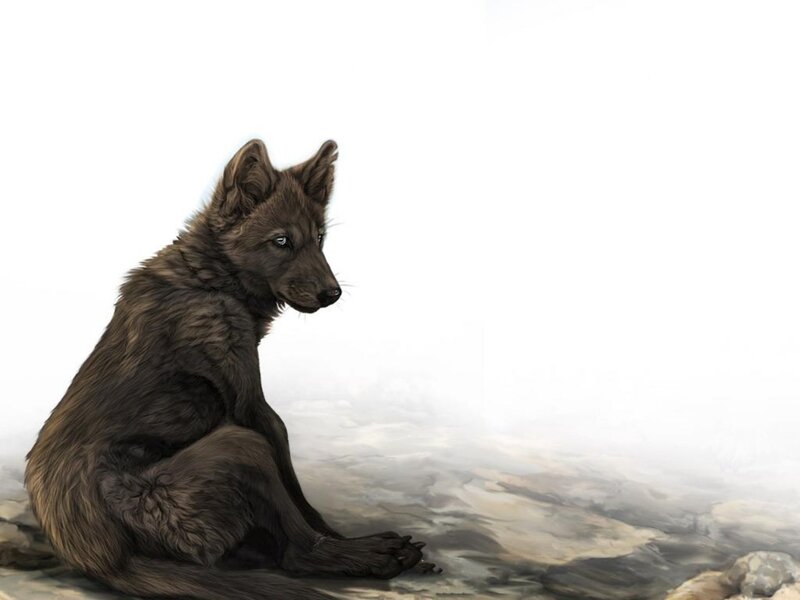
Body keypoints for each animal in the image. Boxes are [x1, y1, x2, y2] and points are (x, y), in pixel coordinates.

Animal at [24, 139, 431, 600]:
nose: (333, 294)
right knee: (297, 553)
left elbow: (303, 498)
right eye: (281, 241)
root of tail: (101, 558)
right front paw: (346, 542)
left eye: (319, 239)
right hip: (238, 445)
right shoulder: (252, 406)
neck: (210, 279)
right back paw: (366, 555)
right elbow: (292, 481)